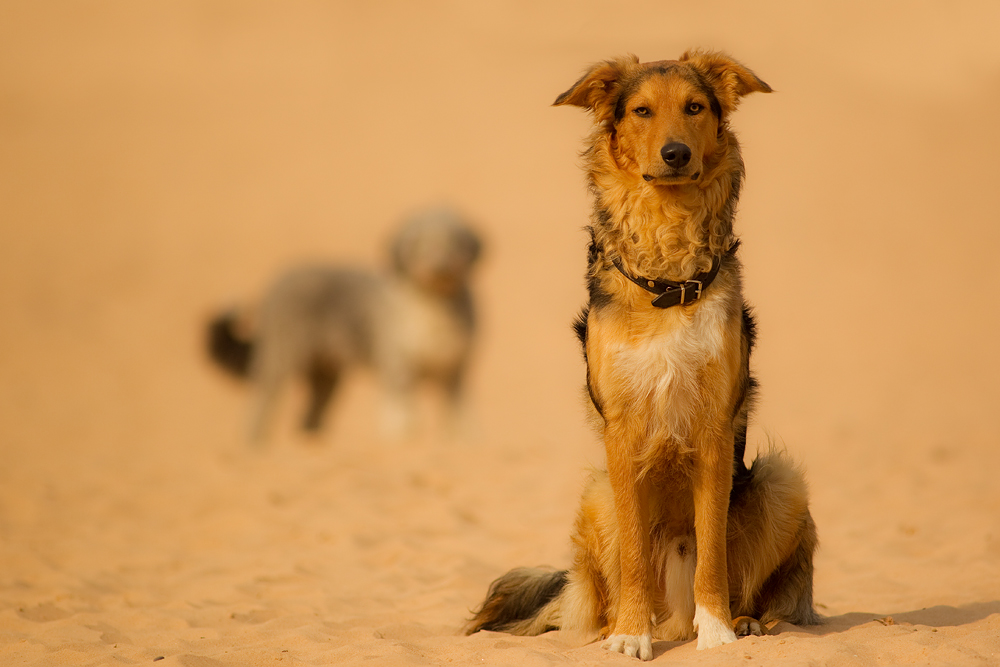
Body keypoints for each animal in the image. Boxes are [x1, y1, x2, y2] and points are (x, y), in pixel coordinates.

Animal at [207, 205, 480, 444]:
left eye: (455, 243)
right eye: (416, 245)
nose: (439, 266)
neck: (436, 303)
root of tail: (278, 280)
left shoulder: (456, 370)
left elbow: (459, 415)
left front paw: (462, 441)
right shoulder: (397, 366)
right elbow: (402, 414)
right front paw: (403, 441)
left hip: (326, 374)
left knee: (308, 417)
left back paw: (314, 445)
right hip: (281, 358)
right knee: (261, 405)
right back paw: (255, 445)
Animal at [464, 49, 816, 660]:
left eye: (695, 107)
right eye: (642, 111)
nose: (675, 154)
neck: (666, 281)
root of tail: (672, 614)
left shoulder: (714, 427)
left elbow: (713, 551)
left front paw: (718, 630)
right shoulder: (624, 433)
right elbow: (632, 553)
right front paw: (631, 634)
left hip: (781, 482)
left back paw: (744, 621)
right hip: (597, 493)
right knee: (607, 595)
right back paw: (625, 625)